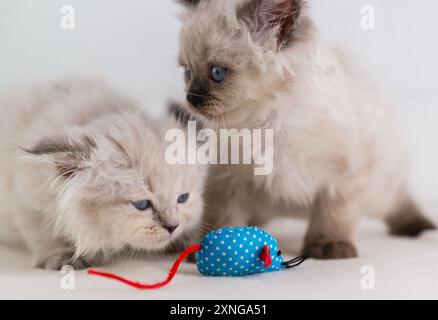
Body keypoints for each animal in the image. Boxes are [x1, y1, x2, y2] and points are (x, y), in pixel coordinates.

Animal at [0, 78, 207, 270]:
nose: (173, 227)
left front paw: (185, 241)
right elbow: (44, 231)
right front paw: (61, 257)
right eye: (141, 204)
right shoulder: (26, 197)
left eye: (182, 198)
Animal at [176, 0, 436, 258]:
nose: (191, 99)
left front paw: (329, 247)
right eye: (187, 72)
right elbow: (222, 219)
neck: (263, 123)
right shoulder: (226, 181)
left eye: (217, 73)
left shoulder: (342, 174)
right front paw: (212, 250)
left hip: (378, 191)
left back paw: (422, 228)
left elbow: (333, 215)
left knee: (399, 201)